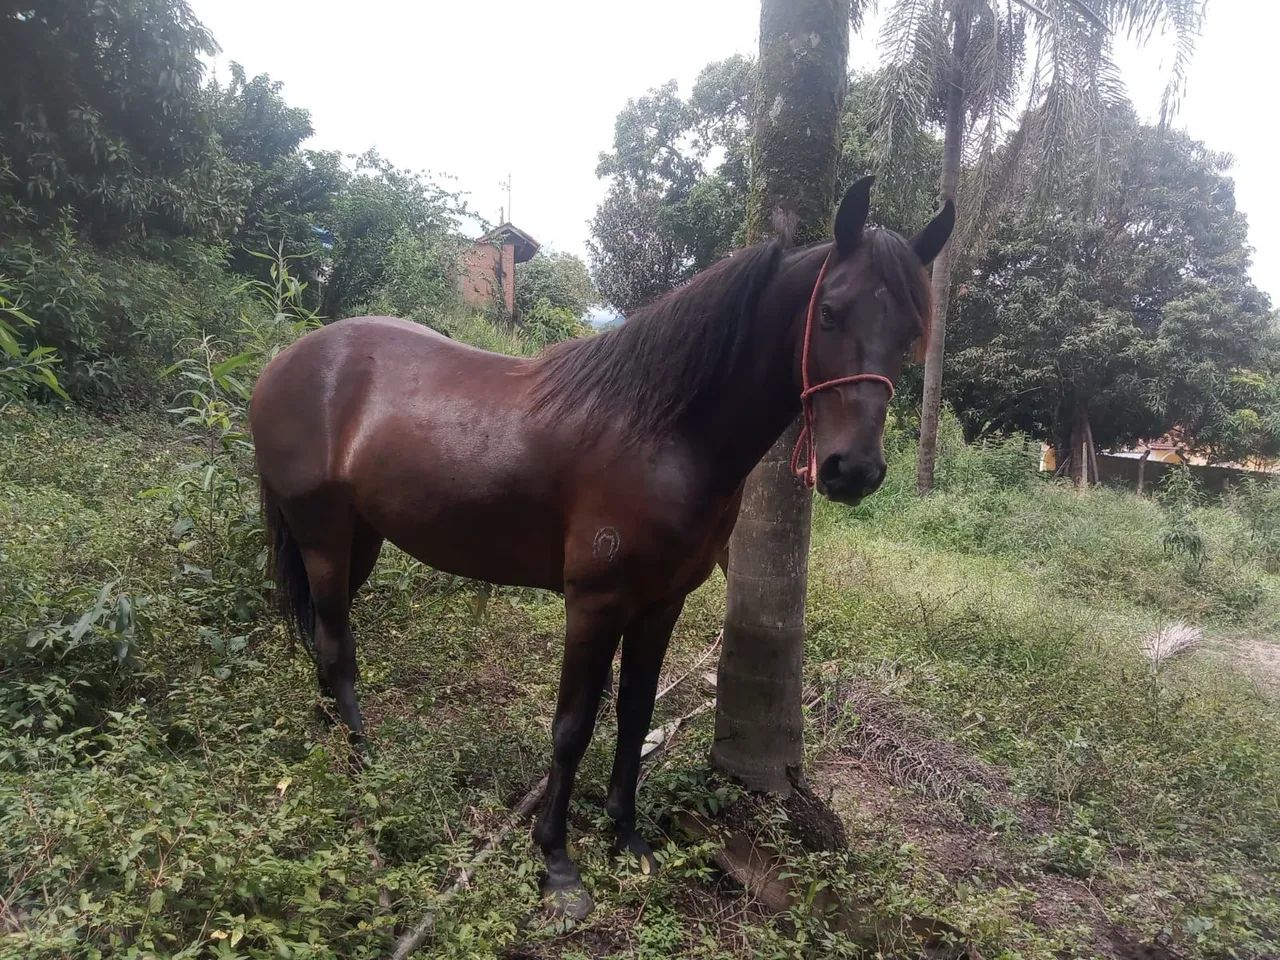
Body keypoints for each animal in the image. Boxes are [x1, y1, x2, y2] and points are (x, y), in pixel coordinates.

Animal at [249, 176, 954, 918]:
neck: (663, 433)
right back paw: (363, 761)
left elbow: (635, 715)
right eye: (833, 312)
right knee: (335, 645)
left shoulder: (661, 604)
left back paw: (333, 733)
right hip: (324, 536)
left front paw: (626, 836)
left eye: (912, 332)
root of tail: (286, 363)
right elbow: (573, 726)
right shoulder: (594, 604)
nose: (855, 470)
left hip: (360, 541)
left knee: (322, 637)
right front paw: (557, 862)